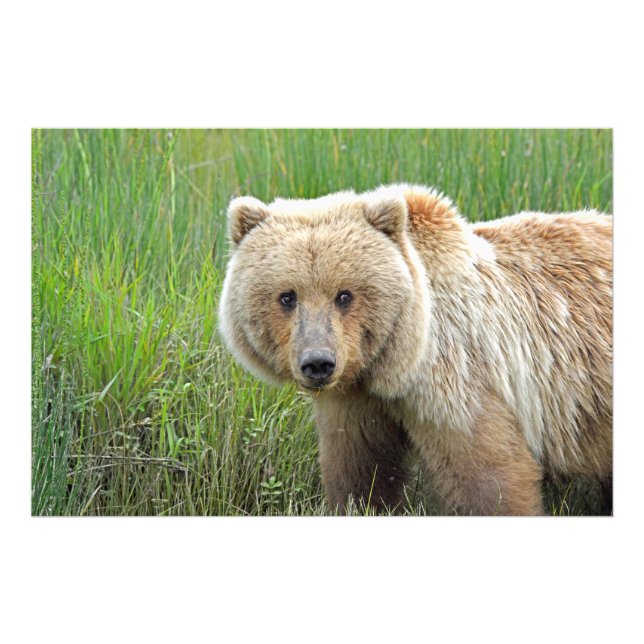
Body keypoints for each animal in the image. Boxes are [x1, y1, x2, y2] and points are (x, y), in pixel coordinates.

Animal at [218, 184, 612, 515]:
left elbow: (488, 476)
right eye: (287, 296)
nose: (318, 363)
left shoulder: (458, 377)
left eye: (344, 295)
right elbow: (360, 471)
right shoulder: (356, 401)